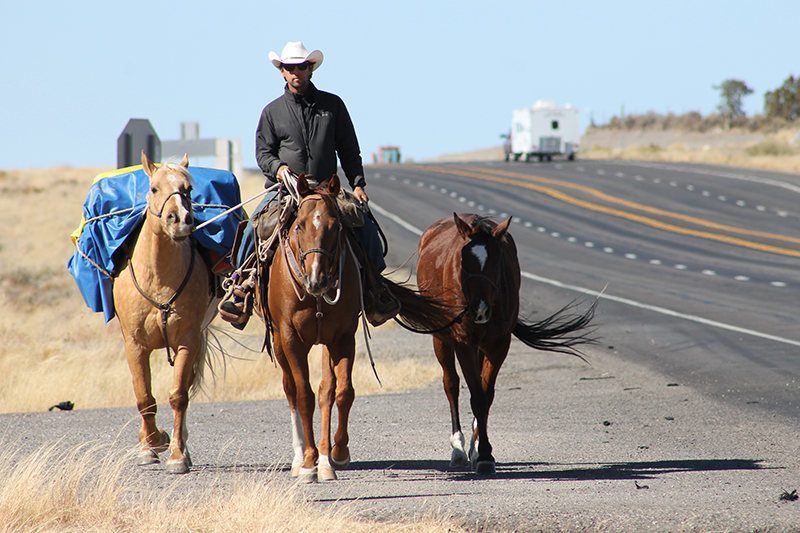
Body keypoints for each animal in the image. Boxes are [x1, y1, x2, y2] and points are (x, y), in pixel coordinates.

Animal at [112, 151, 214, 474]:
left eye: (188, 189)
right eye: (155, 188)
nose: (180, 220)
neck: (158, 277)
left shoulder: (188, 341)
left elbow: (178, 396)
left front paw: (177, 454)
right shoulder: (135, 345)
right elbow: (144, 398)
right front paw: (150, 444)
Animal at [262, 175, 450, 482]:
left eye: (335, 226)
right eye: (299, 225)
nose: (316, 280)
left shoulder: (342, 337)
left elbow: (341, 392)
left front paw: (335, 455)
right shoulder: (291, 339)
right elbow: (304, 395)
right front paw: (309, 463)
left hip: (325, 342)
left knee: (326, 391)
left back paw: (325, 459)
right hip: (279, 343)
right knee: (290, 390)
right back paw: (299, 457)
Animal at [418, 213, 592, 474]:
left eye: (496, 262)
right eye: (463, 261)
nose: (479, 309)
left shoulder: (498, 344)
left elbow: (485, 395)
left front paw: (483, 452)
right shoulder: (463, 343)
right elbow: (476, 396)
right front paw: (481, 453)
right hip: (441, 339)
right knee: (451, 384)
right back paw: (458, 449)